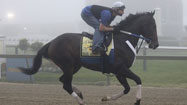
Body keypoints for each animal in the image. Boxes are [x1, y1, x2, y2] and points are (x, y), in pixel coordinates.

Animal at [19, 11, 159, 105]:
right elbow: (138, 80)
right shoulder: (120, 68)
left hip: (74, 66)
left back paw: (80, 93)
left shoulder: (118, 71)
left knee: (63, 80)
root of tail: (52, 42)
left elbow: (127, 88)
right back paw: (81, 101)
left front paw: (106, 98)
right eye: (153, 26)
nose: (156, 44)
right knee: (66, 85)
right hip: (68, 65)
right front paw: (137, 101)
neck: (123, 40)